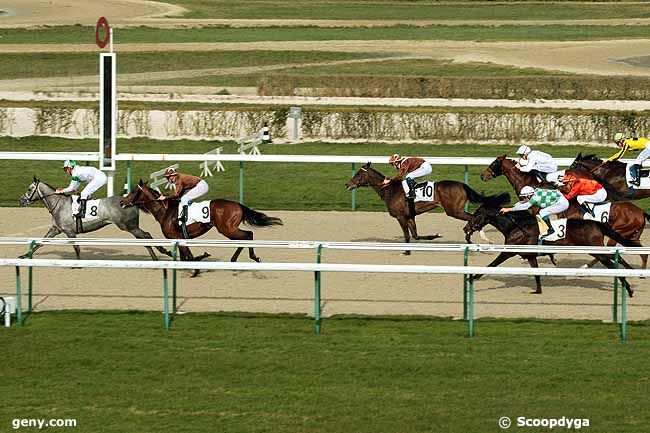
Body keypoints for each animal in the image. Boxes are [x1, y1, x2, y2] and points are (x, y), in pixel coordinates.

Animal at [18, 176, 171, 260]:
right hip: (131, 226)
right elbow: (40, 242)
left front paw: (77, 263)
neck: (59, 205)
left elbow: (76, 248)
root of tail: (130, 202)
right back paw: (156, 256)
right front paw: (24, 255)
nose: (21, 200)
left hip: (128, 226)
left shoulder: (70, 232)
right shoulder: (56, 229)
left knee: (147, 235)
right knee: (145, 238)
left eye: (29, 189)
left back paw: (163, 252)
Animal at [120, 180, 282, 266]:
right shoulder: (180, 239)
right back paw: (235, 259)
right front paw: (200, 258)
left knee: (248, 235)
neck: (165, 211)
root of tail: (238, 205)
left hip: (227, 229)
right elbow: (186, 257)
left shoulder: (176, 237)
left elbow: (188, 257)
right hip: (229, 229)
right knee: (246, 237)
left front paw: (200, 259)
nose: (122, 202)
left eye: (133, 191)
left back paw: (252, 257)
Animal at [346, 162, 494, 251]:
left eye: (358, 174)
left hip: (454, 211)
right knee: (474, 218)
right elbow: (415, 236)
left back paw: (474, 235)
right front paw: (435, 236)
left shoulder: (400, 217)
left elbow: (407, 236)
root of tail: (462, 185)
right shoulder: (410, 216)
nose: (347, 184)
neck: (390, 190)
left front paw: (406, 251)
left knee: (474, 217)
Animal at [460, 194, 636, 296]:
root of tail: (596, 223)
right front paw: (537, 291)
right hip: (596, 250)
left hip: (595, 250)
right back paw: (632, 273)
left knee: (613, 264)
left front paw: (471, 277)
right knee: (617, 259)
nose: (466, 228)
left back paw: (629, 288)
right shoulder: (530, 255)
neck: (515, 226)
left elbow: (492, 264)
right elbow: (537, 273)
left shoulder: (509, 251)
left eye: (476, 214)